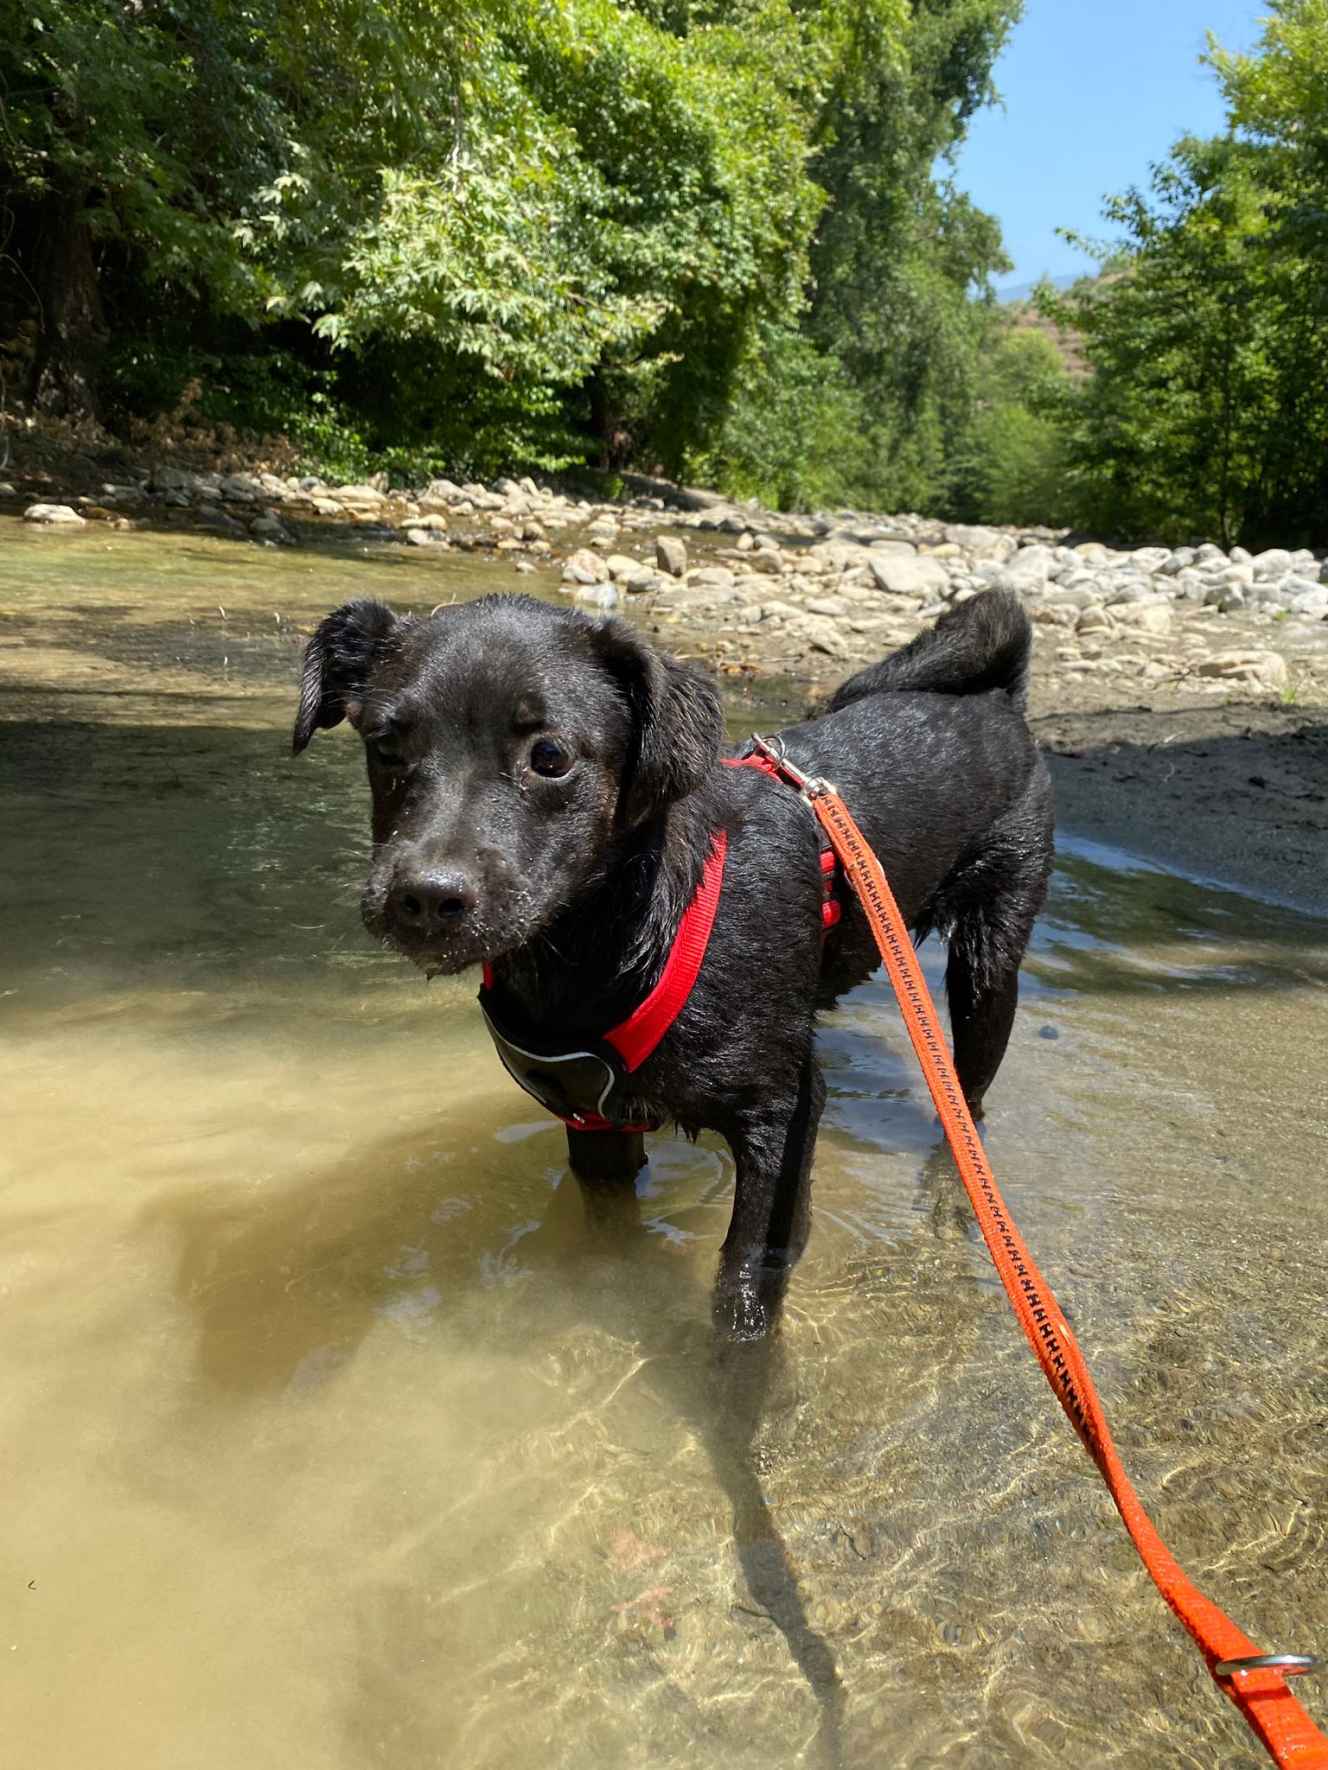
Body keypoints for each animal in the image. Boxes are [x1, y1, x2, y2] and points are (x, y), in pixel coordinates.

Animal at [295, 587, 1055, 1331]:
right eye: (386, 746)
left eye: (550, 756)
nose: (425, 896)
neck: (603, 947)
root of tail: (997, 700)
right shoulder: (594, 1122)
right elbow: (609, 1238)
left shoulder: (782, 1119)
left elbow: (743, 1289)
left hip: (988, 969)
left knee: (969, 1103)